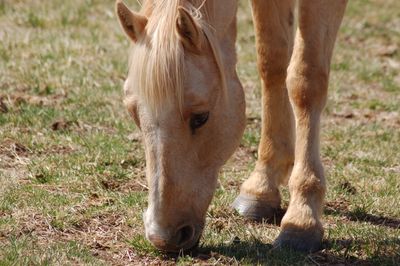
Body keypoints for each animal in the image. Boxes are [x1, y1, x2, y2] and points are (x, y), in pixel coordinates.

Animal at [115, 0, 346, 254]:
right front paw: (261, 188)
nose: (162, 237)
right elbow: (272, 63)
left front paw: (302, 219)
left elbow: (305, 80)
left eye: (201, 117)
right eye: (133, 113)